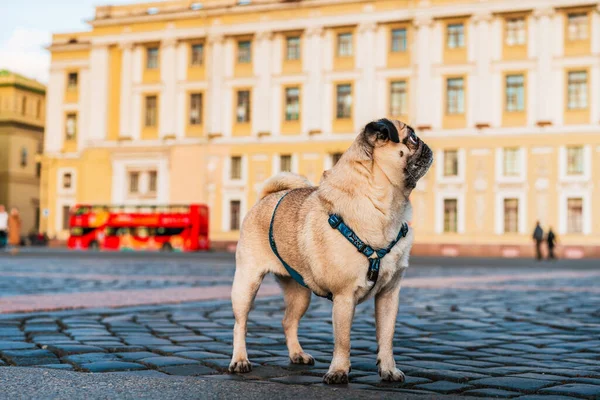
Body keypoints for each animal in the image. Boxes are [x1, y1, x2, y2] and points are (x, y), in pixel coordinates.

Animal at [229, 119, 432, 384]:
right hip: (247, 283)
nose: (427, 144)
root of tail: (267, 197)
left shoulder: (388, 296)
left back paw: (297, 354)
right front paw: (338, 372)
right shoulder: (344, 297)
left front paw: (389, 370)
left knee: (288, 321)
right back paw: (240, 360)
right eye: (413, 138)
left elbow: (386, 338)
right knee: (240, 324)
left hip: (300, 293)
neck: (384, 208)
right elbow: (343, 340)